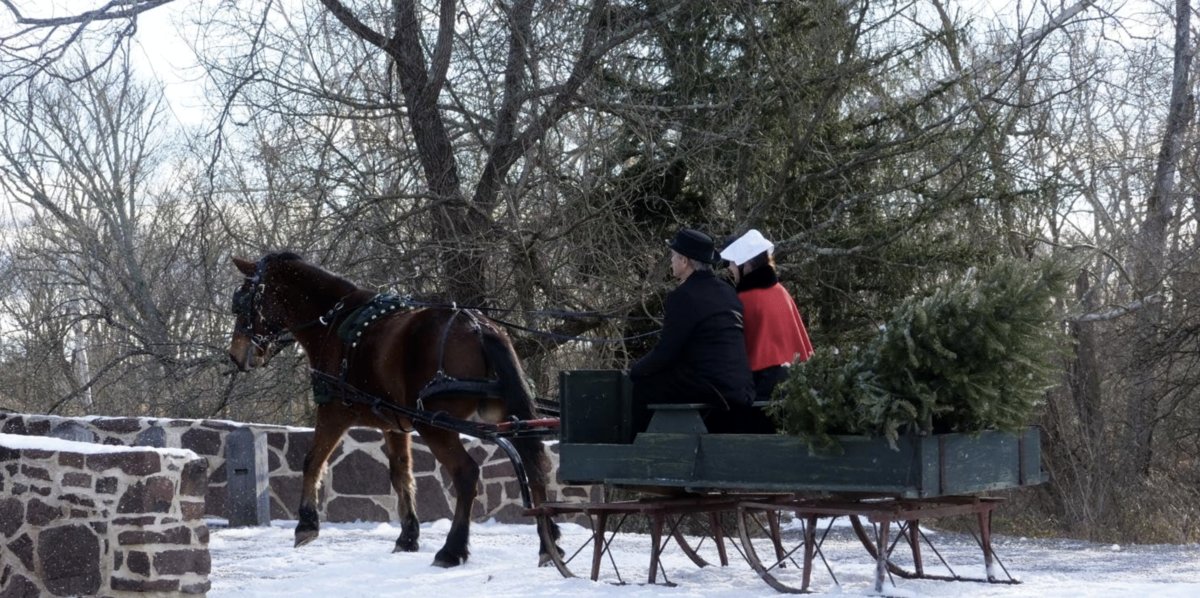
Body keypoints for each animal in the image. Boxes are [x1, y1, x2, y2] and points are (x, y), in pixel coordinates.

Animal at [225, 250, 561, 564]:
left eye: (241, 303)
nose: (235, 355)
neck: (332, 321)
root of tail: (479, 326)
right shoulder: (395, 425)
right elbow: (401, 475)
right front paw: (407, 537)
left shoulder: (334, 411)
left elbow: (312, 460)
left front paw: (306, 525)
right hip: (504, 415)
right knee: (534, 466)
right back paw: (548, 544)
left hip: (435, 424)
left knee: (466, 473)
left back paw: (451, 550)